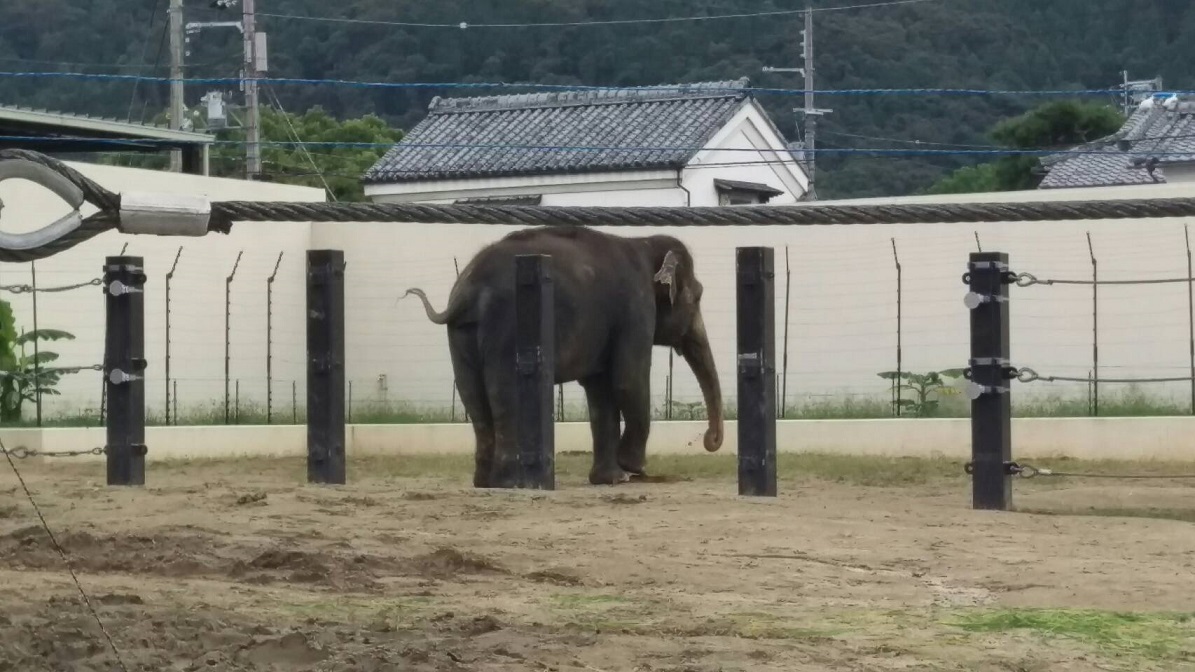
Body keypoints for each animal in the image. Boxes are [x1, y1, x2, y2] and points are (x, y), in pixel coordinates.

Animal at [401, 224, 721, 485]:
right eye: (698, 297)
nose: (708, 440)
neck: (643, 242)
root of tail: (466, 289)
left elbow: (600, 392)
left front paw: (611, 479)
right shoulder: (636, 310)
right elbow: (628, 380)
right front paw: (632, 469)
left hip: (461, 334)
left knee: (472, 395)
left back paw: (484, 483)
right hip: (507, 323)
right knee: (504, 391)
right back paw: (507, 482)